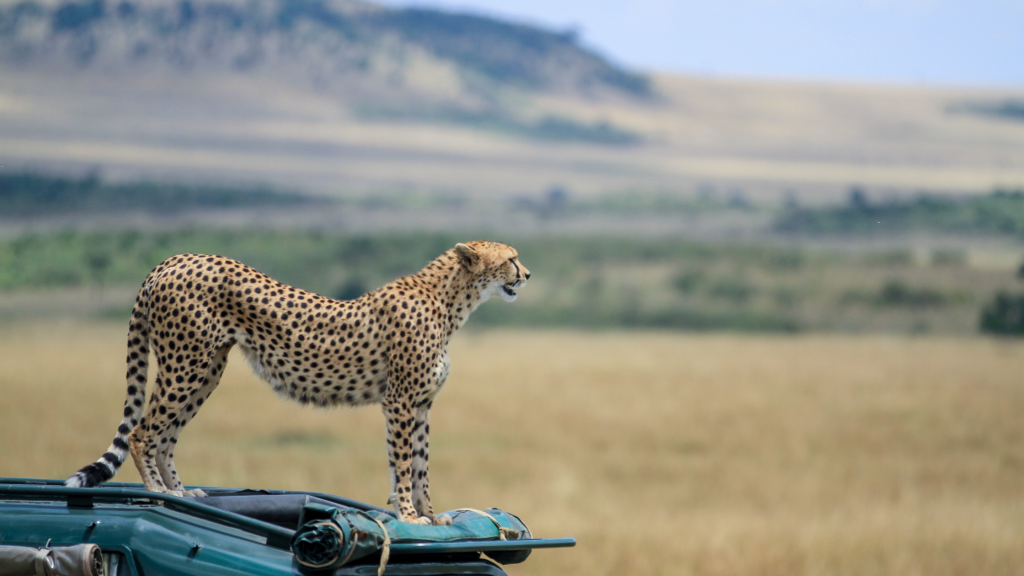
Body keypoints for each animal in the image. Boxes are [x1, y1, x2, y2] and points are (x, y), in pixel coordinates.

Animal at [65, 239, 532, 522]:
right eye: (511, 258)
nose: (527, 275)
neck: (450, 300)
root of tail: (175, 259)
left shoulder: (420, 404)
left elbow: (420, 463)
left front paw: (429, 515)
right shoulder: (400, 401)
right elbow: (402, 462)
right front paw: (408, 514)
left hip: (207, 370)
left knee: (166, 434)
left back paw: (180, 491)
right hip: (187, 363)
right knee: (144, 431)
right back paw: (161, 492)